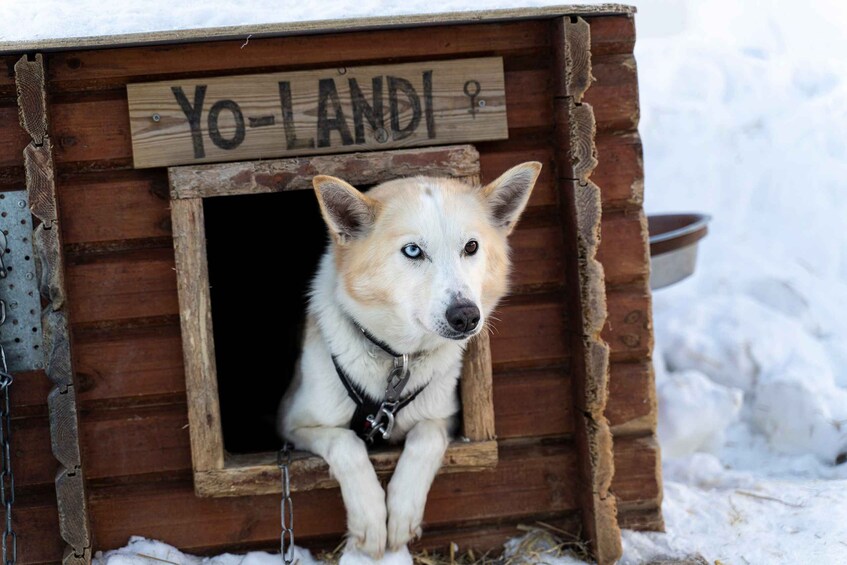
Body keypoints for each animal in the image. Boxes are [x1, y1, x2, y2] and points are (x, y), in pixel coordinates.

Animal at [278, 162, 544, 560]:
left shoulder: (445, 417)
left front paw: (402, 514)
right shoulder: (293, 424)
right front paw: (371, 521)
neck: (397, 358)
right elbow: (346, 443)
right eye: (413, 250)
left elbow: (425, 437)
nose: (466, 316)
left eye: (471, 247)